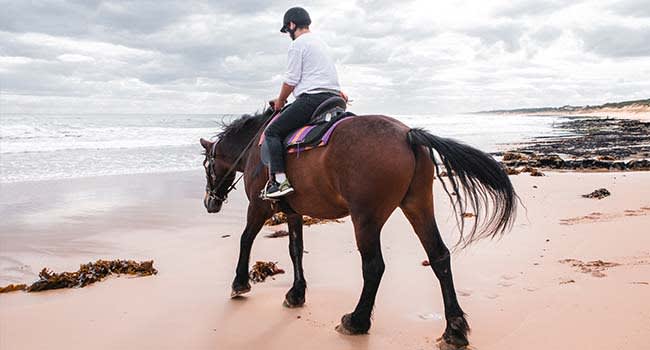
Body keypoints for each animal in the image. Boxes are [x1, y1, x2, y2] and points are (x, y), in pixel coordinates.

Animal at [200, 106, 512, 348]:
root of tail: (407, 134)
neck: (256, 147)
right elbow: (295, 250)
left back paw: (357, 320)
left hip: (365, 219)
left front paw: (239, 283)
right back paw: (454, 329)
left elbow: (245, 239)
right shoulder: (294, 213)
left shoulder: (259, 207)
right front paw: (296, 294)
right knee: (439, 256)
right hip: (418, 205)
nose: (209, 202)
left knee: (374, 266)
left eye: (207, 165)